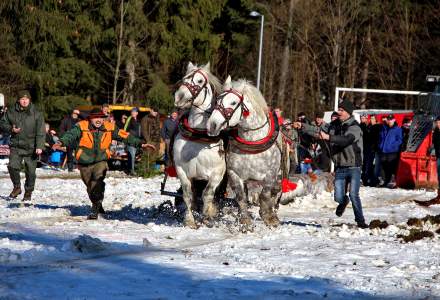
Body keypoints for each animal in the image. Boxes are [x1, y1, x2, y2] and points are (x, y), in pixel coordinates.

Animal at [173, 62, 227, 229]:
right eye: (184, 78)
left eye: (200, 81)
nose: (180, 96)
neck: (198, 135)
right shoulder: (182, 170)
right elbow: (187, 195)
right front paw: (190, 220)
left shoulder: (217, 173)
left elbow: (208, 194)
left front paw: (207, 216)